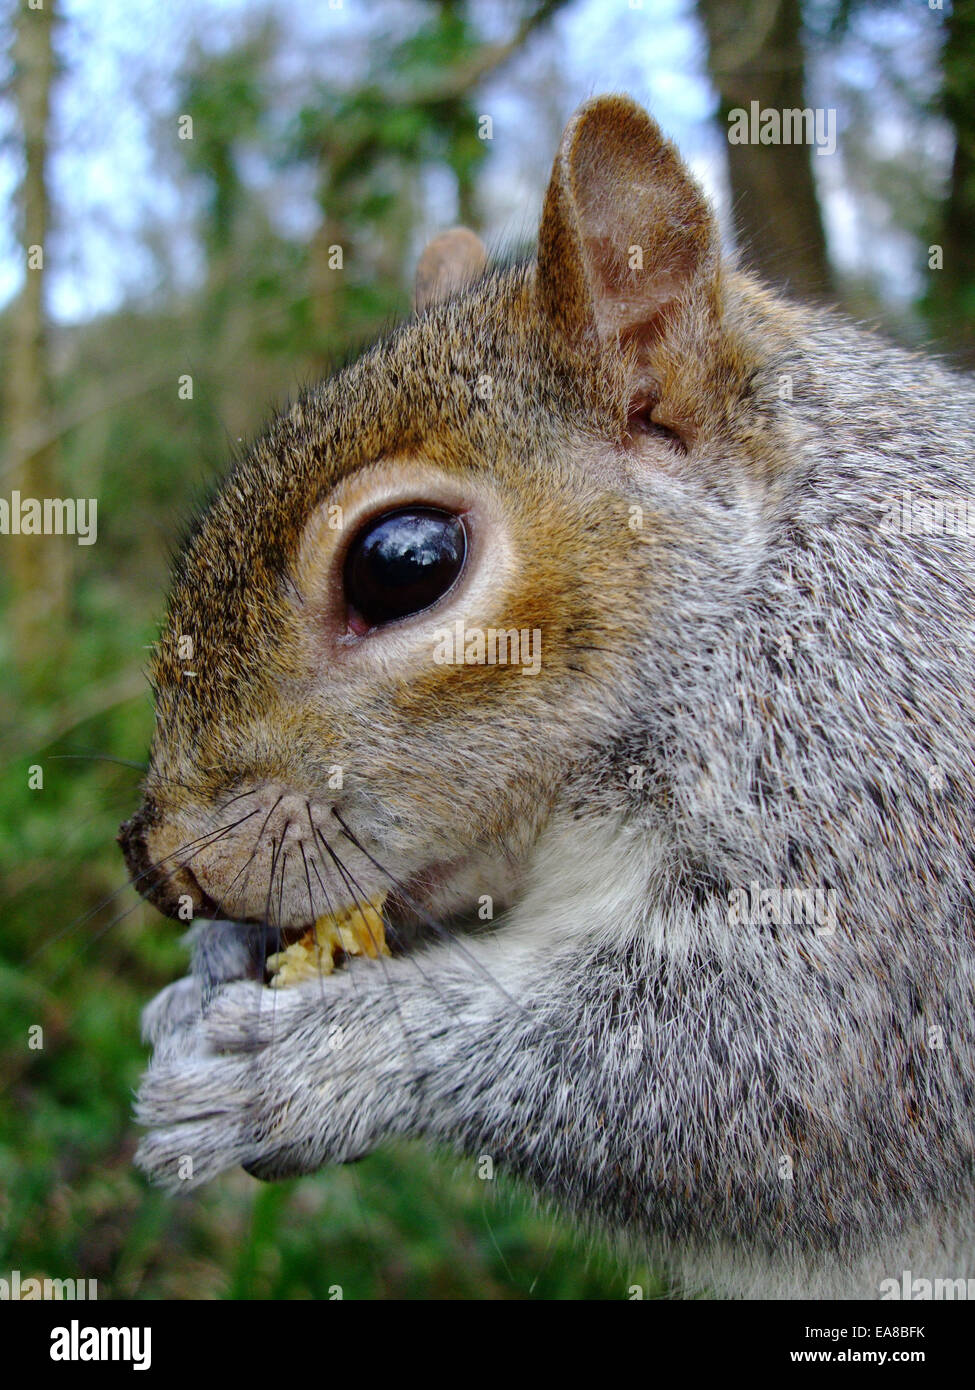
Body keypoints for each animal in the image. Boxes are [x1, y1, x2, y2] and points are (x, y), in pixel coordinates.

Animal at [119, 97, 973, 1301]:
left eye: (402, 564)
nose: (155, 863)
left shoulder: (889, 782)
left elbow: (787, 1068)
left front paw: (316, 1062)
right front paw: (207, 976)